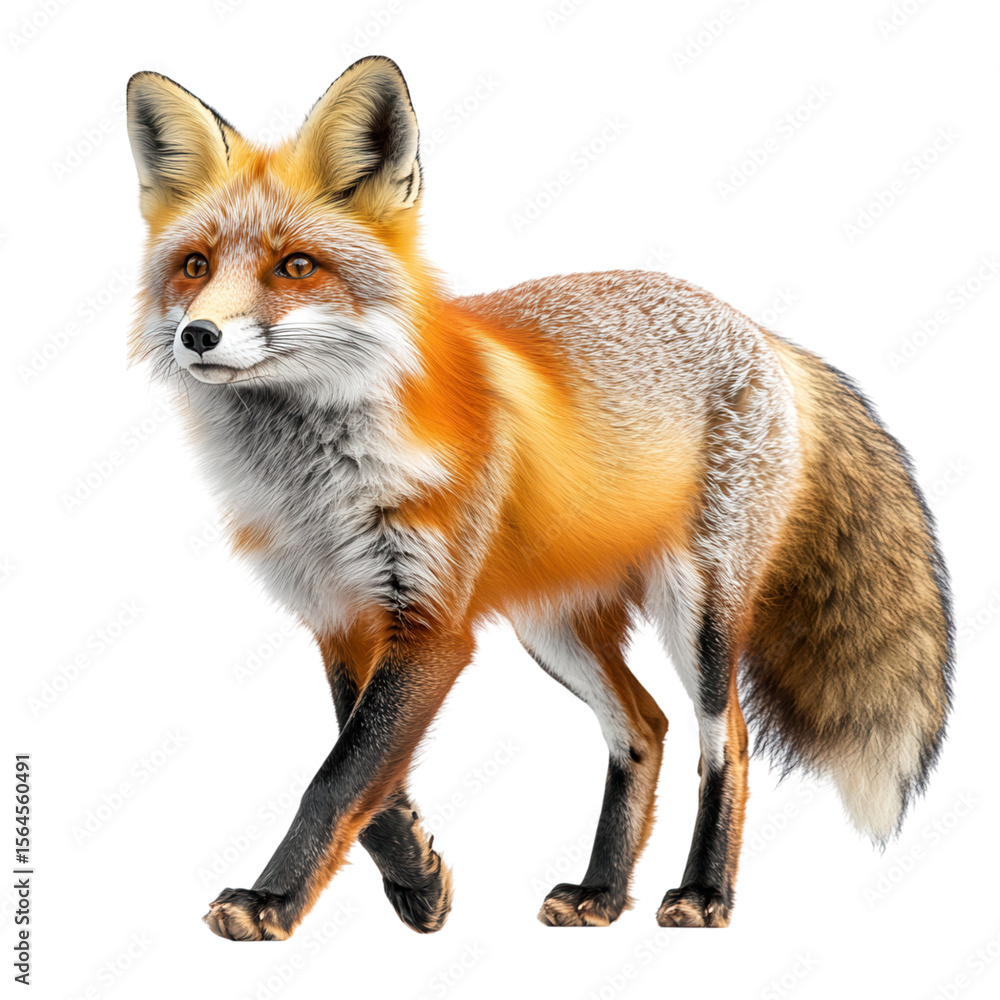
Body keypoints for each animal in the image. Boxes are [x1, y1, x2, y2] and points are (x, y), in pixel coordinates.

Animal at [125, 56, 953, 938]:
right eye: (194, 266)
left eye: (296, 266)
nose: (198, 335)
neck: (317, 481)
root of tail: (757, 330)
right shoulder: (339, 613)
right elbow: (368, 772)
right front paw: (418, 877)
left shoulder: (432, 621)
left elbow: (336, 776)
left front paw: (273, 899)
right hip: (551, 626)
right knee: (644, 728)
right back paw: (603, 892)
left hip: (700, 611)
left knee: (724, 737)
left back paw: (704, 892)